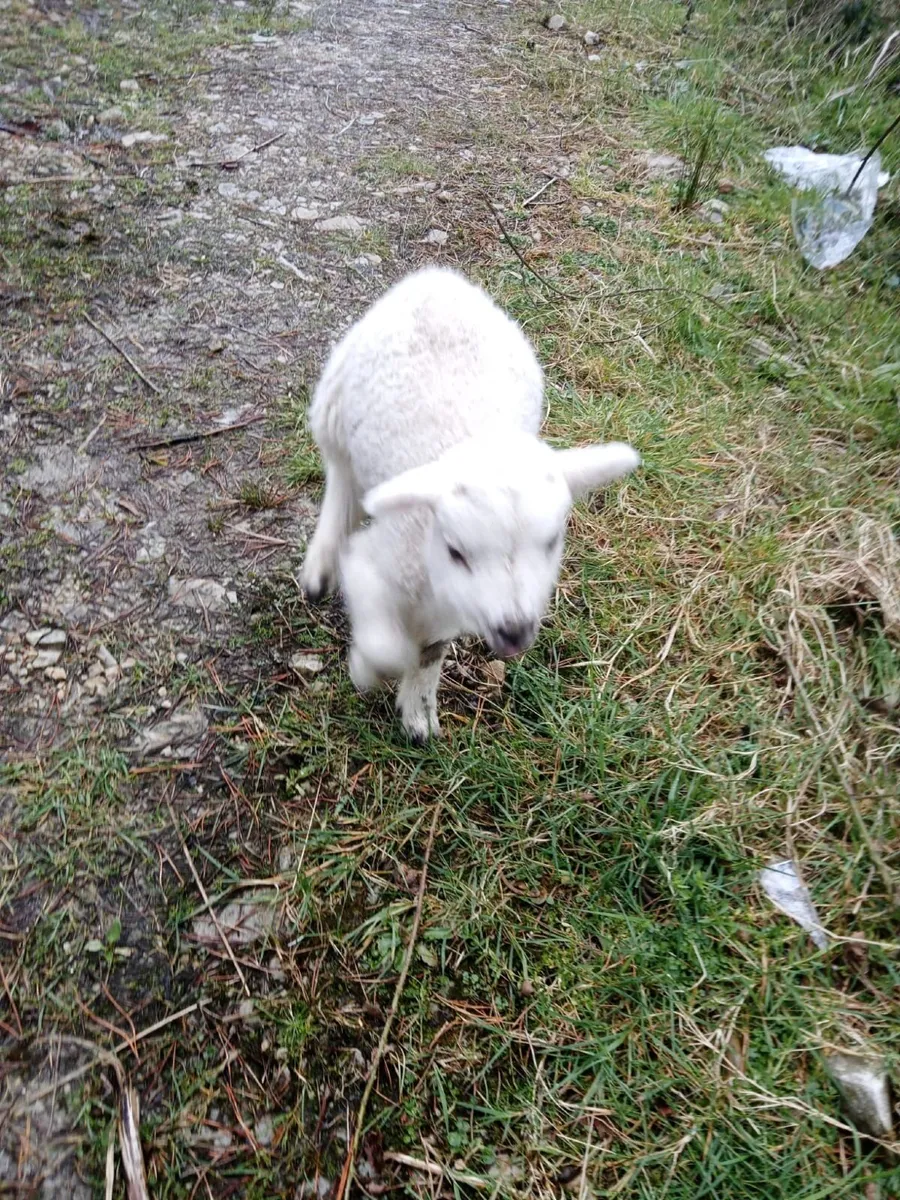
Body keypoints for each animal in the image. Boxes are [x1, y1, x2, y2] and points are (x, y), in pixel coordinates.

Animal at [300, 266, 640, 742]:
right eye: (456, 550)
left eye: (552, 542)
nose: (515, 632)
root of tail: (437, 279)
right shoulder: (376, 565)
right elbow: (388, 648)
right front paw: (367, 671)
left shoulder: (452, 605)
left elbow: (429, 650)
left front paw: (418, 713)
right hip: (333, 403)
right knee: (341, 479)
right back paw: (320, 567)